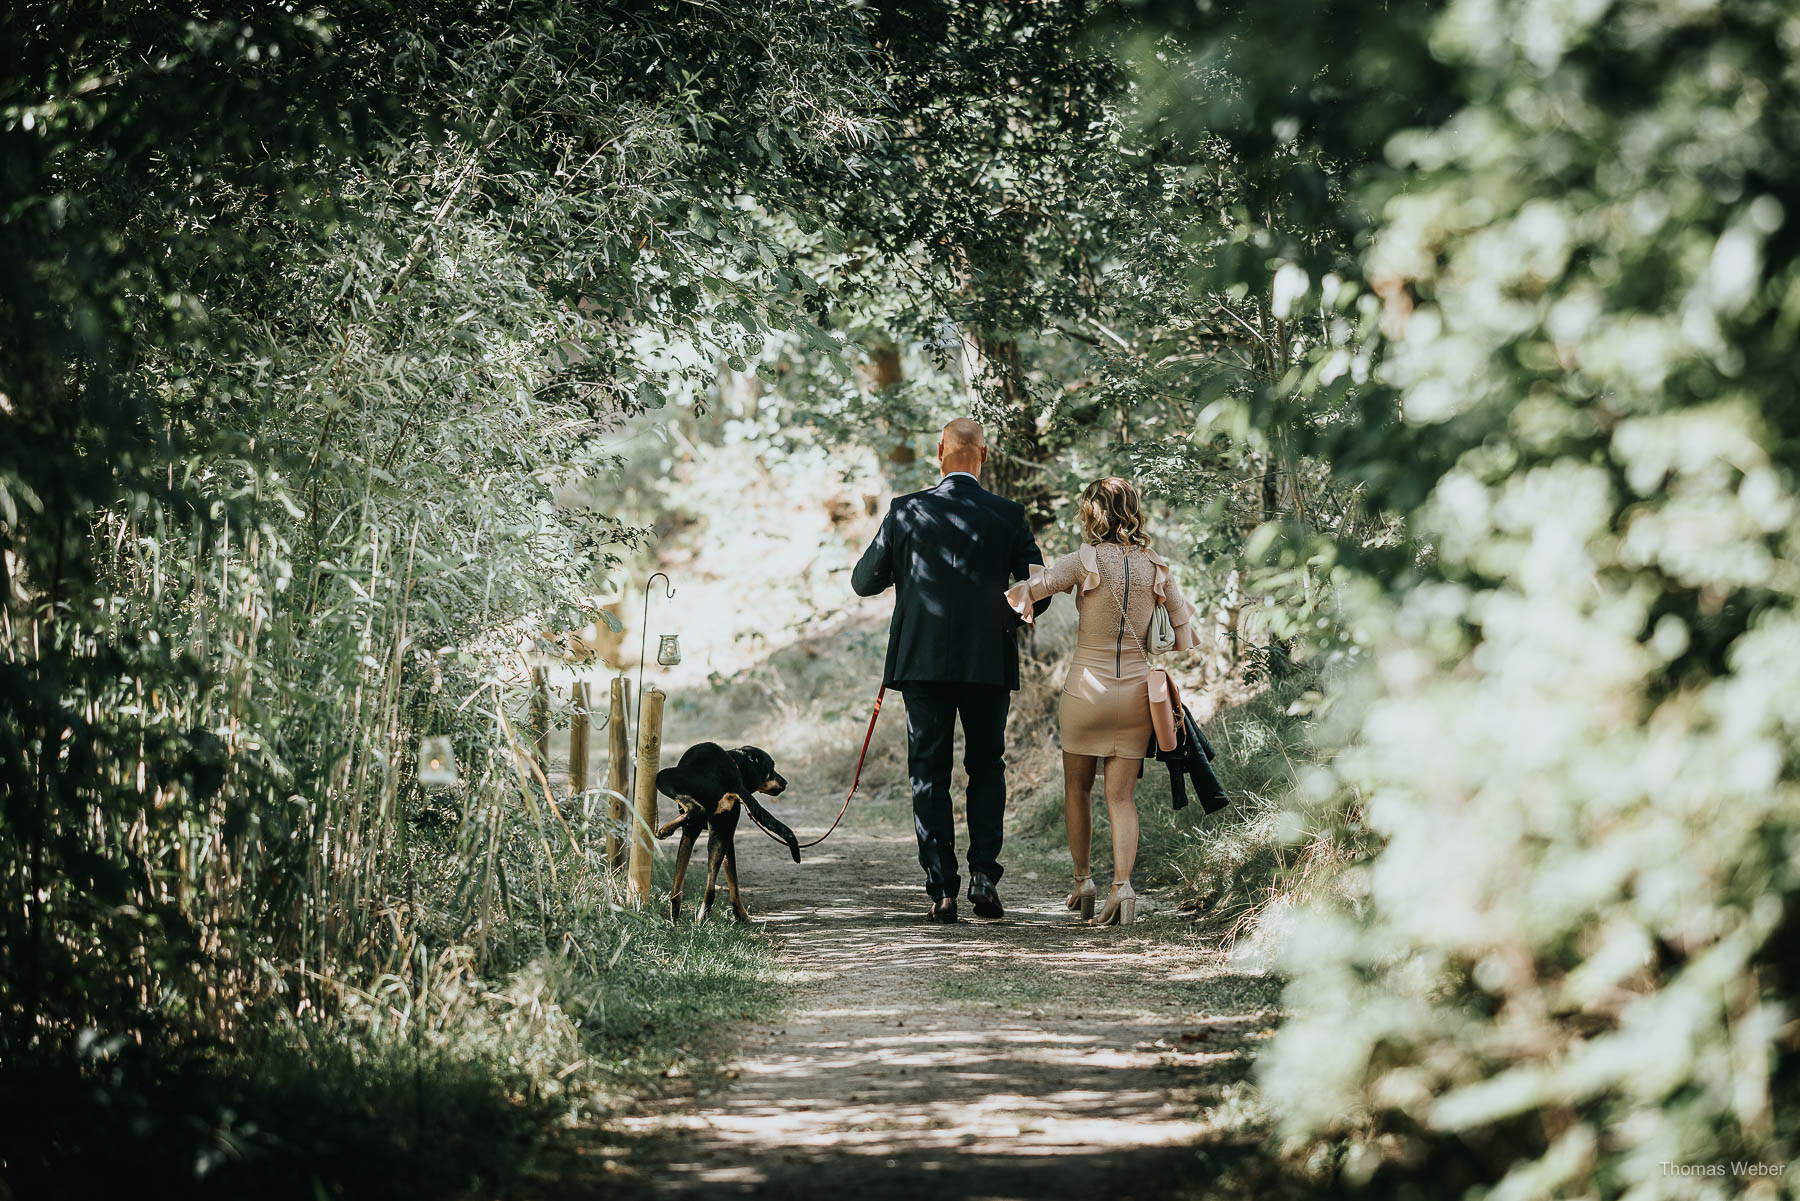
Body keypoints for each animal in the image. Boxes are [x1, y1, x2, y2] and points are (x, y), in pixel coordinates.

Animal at [658, 741, 799, 921]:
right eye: (771, 769)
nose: (785, 782)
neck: (735, 763)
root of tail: (730, 779)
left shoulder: (691, 832)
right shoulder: (722, 838)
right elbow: (732, 882)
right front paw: (741, 915)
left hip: (663, 777)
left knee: (696, 808)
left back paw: (665, 830)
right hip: (720, 834)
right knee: (710, 890)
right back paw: (702, 918)